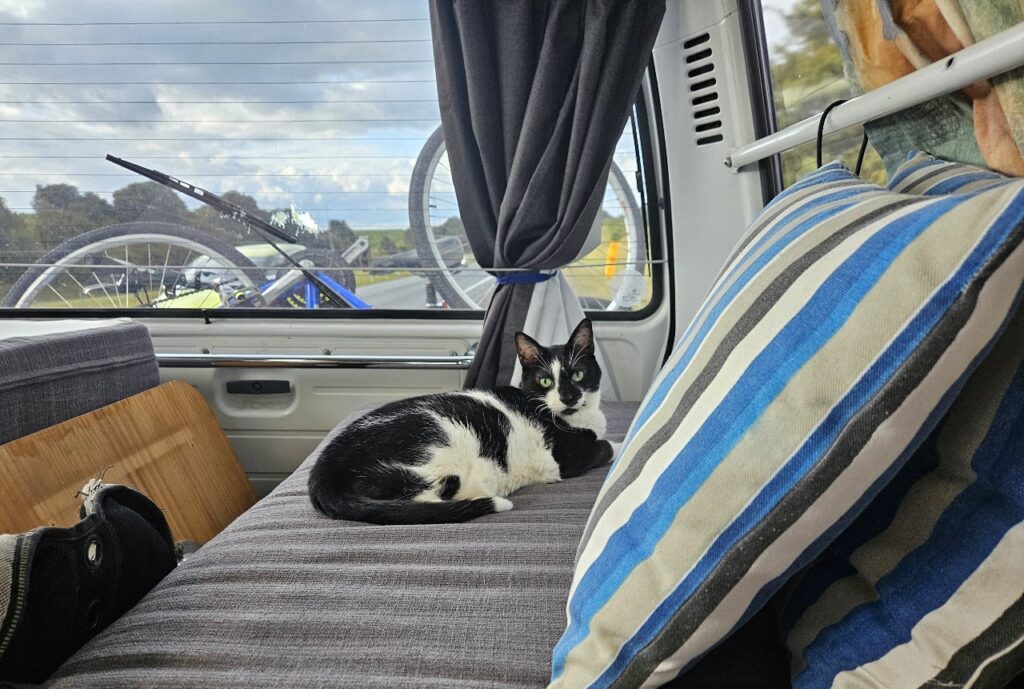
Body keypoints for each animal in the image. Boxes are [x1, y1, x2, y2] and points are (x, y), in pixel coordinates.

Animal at [303, 319, 606, 524]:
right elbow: (606, 447)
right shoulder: (563, 459)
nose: (568, 397)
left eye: (578, 374)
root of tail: (322, 474)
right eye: (545, 381)